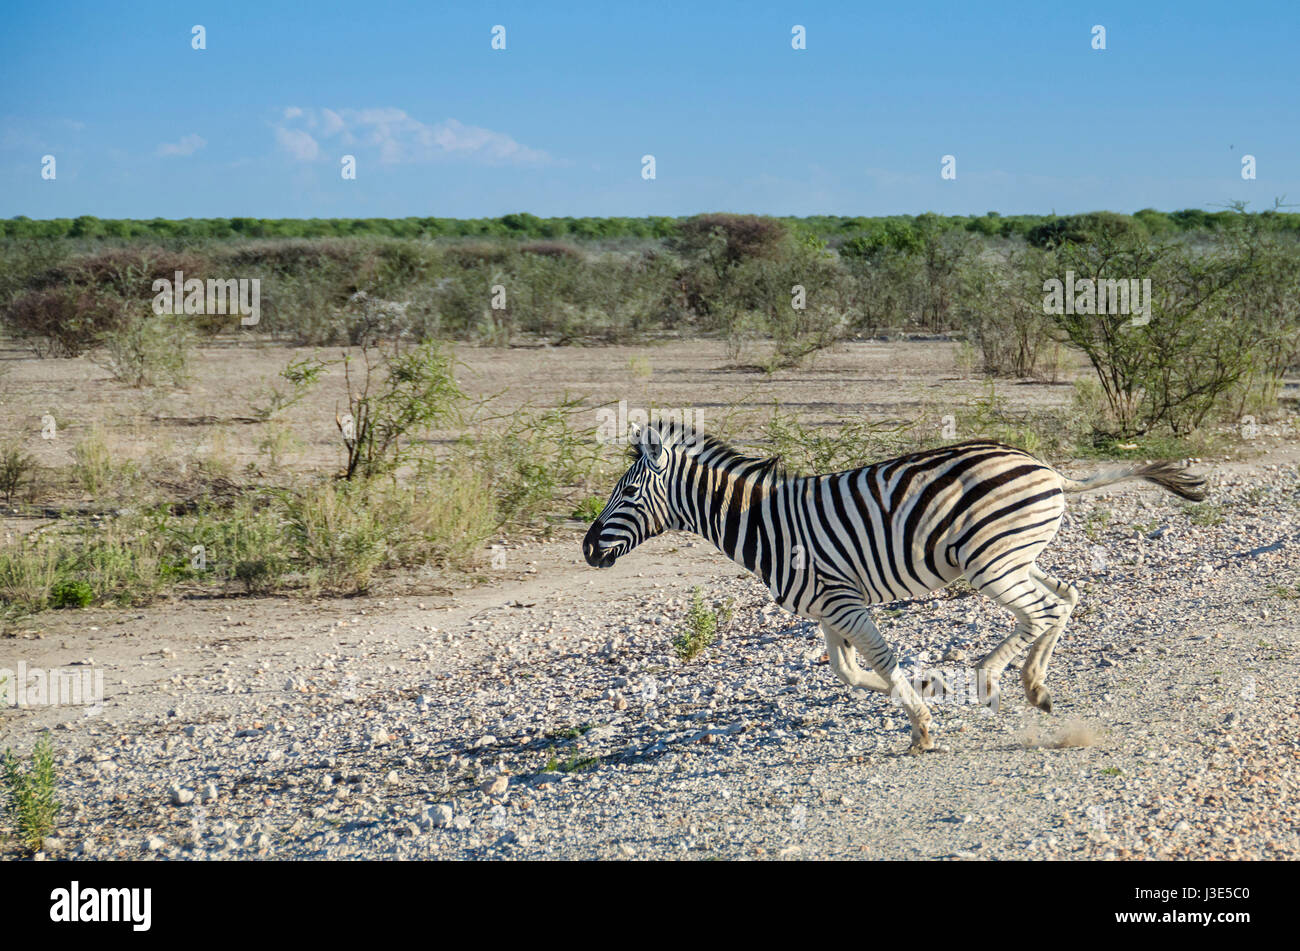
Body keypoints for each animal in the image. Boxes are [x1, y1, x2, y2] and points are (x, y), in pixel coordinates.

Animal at [585, 420, 1201, 753]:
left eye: (629, 494)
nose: (587, 549)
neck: (765, 524)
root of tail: (1049, 469)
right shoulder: (828, 607)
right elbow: (848, 671)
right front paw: (924, 690)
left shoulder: (841, 600)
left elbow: (879, 660)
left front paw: (922, 725)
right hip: (1013, 558)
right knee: (1065, 598)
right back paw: (1033, 685)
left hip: (992, 563)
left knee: (1043, 611)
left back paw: (994, 677)